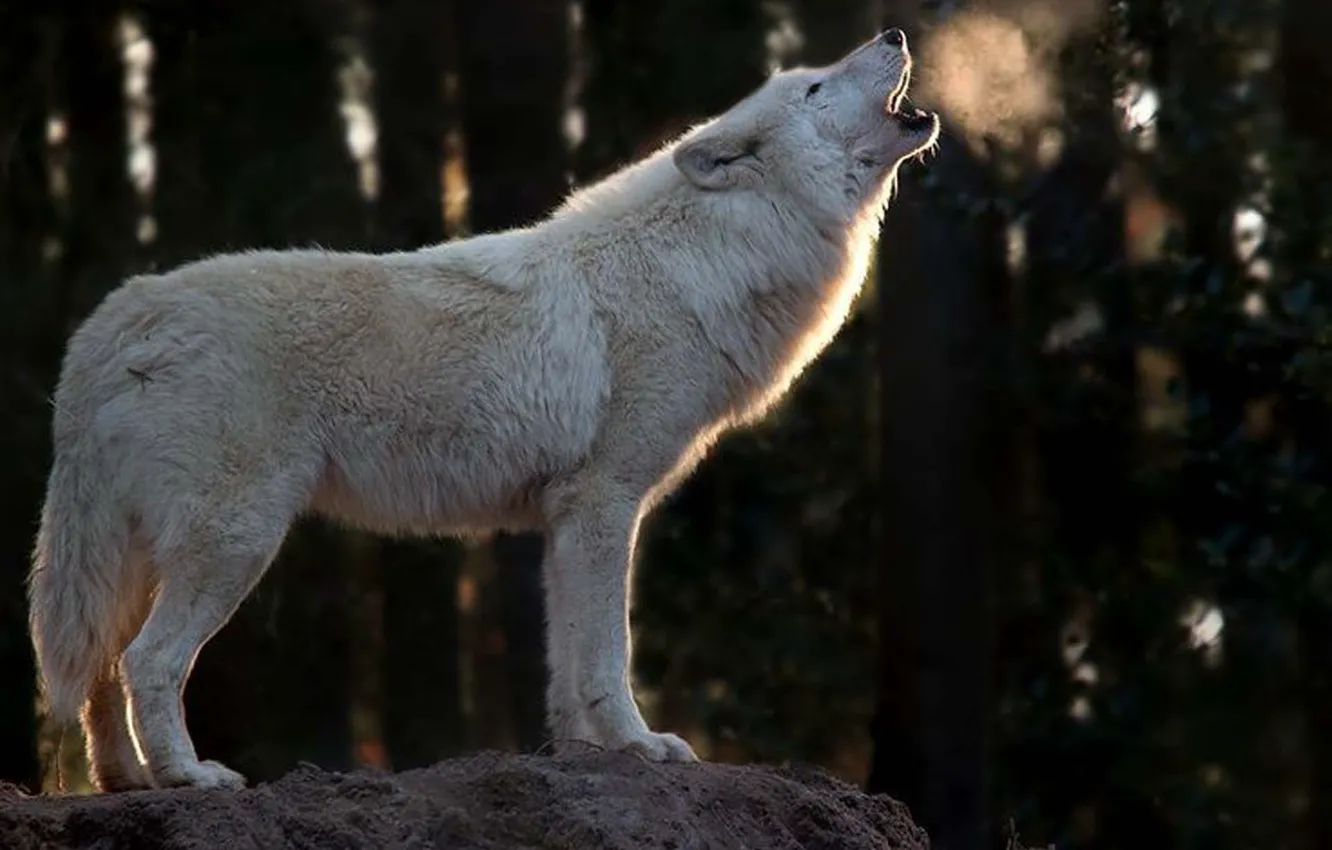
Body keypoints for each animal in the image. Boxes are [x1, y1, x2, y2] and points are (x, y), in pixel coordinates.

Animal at [28, 27, 938, 791]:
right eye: (815, 85)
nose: (895, 32)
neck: (706, 256)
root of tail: (116, 318)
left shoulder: (566, 520)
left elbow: (568, 668)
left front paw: (583, 755)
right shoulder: (606, 503)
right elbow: (609, 656)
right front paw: (641, 746)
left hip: (144, 555)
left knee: (101, 667)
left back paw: (128, 784)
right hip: (235, 542)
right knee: (147, 662)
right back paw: (190, 779)